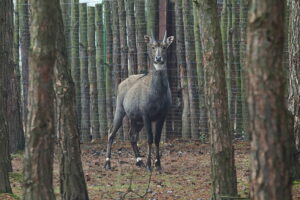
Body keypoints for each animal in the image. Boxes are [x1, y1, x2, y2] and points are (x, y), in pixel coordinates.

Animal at [104, 32, 175, 170]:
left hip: (135, 119)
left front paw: (158, 164)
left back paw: (139, 161)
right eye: (153, 47)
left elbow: (157, 139)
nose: (158, 58)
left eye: (164, 47)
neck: (158, 92)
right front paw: (149, 165)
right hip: (120, 111)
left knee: (132, 136)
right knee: (111, 133)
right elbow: (150, 139)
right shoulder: (146, 115)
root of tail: (121, 83)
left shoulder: (162, 116)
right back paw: (107, 163)